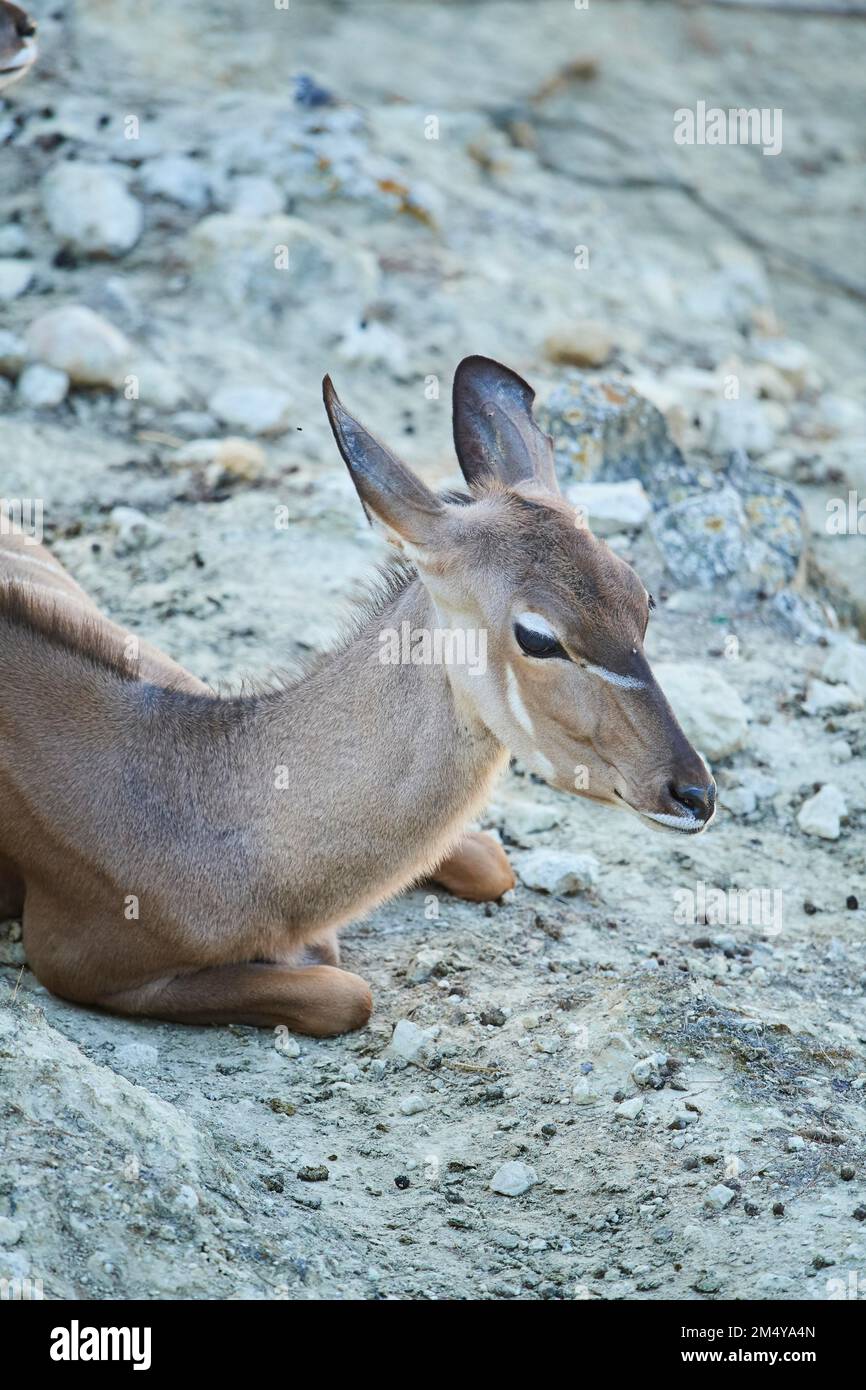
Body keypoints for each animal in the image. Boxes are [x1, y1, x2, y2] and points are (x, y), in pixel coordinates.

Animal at [0, 358, 717, 1034]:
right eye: (538, 636)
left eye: (642, 599)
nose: (695, 795)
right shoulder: (76, 961)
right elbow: (347, 992)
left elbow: (491, 861)